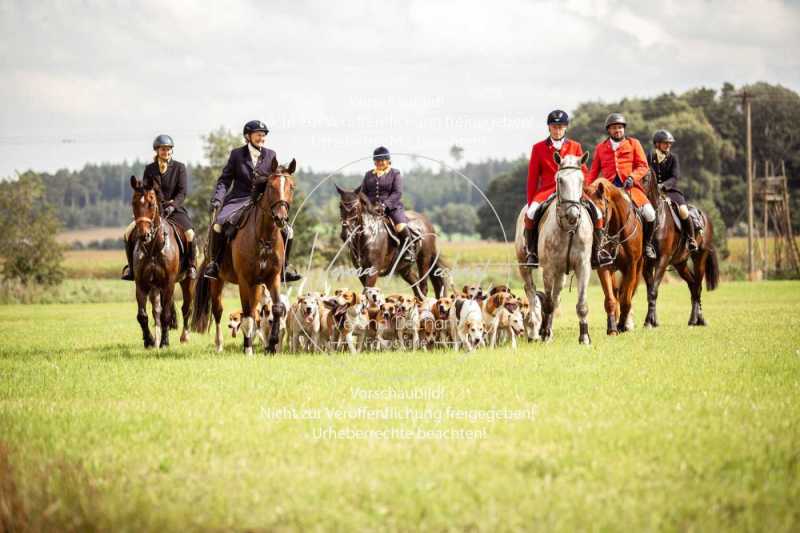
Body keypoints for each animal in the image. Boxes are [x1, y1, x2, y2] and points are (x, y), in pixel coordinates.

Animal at [131, 176, 195, 350]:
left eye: (152, 204)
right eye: (134, 203)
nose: (143, 235)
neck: (153, 248)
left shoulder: (168, 284)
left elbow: (166, 314)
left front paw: (165, 342)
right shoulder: (141, 284)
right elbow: (142, 315)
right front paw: (149, 341)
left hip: (187, 281)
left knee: (186, 307)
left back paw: (184, 337)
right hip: (155, 288)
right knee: (156, 311)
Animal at [191, 157, 296, 354]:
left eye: (292, 187)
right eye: (271, 186)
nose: (281, 219)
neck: (264, 236)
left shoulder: (272, 277)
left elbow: (276, 308)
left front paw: (272, 344)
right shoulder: (244, 280)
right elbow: (246, 315)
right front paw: (248, 349)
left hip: (256, 285)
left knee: (255, 311)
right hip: (218, 281)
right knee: (218, 310)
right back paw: (219, 345)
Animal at [584, 180, 648, 336]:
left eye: (601, 212)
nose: (594, 245)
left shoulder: (632, 266)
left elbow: (626, 299)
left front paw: (622, 325)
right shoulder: (604, 267)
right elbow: (611, 299)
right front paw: (612, 328)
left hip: (637, 269)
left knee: (627, 293)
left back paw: (626, 322)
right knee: (616, 291)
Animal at [640, 172, 720, 326]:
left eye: (645, 179)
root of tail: (704, 216)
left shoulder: (662, 260)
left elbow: (653, 291)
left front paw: (650, 322)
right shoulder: (647, 263)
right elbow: (650, 291)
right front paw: (651, 321)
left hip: (699, 258)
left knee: (698, 287)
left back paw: (697, 320)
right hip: (680, 264)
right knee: (693, 285)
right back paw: (696, 319)